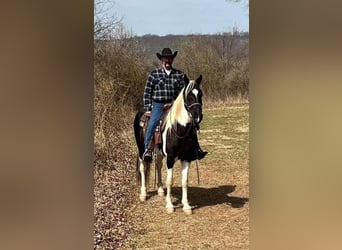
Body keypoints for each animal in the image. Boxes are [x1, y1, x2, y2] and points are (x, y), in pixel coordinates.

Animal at [134, 74, 203, 215]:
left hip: (159, 152)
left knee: (158, 166)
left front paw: (186, 206)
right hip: (141, 150)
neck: (179, 128)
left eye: (201, 94)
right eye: (188, 96)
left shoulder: (186, 158)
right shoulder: (170, 158)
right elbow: (170, 181)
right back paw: (143, 194)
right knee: (143, 168)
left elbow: (184, 182)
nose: (198, 116)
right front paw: (170, 205)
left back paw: (160, 190)